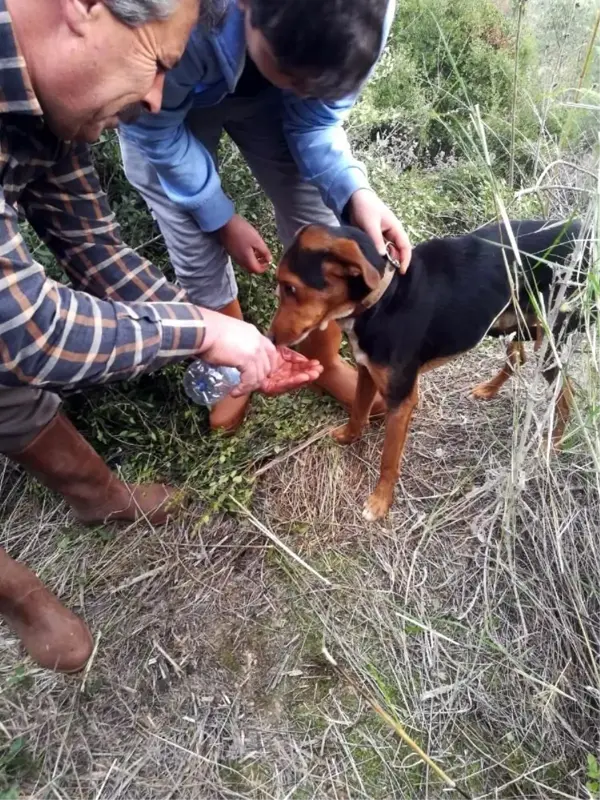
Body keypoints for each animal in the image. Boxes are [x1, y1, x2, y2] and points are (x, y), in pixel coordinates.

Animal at [270, 219, 584, 520]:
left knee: (566, 394)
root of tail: (582, 229)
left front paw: (380, 503)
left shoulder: (401, 400)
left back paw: (553, 447)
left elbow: (388, 459)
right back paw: (489, 389)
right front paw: (348, 437)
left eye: (291, 288)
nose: (271, 339)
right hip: (515, 323)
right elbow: (358, 410)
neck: (385, 298)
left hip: (550, 341)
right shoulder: (366, 370)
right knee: (518, 356)